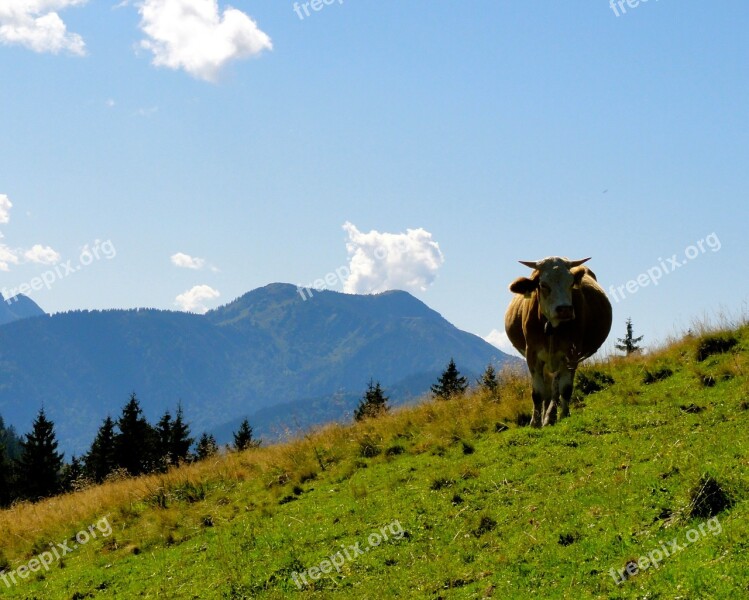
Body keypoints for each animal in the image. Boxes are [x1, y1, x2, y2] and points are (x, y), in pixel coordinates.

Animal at [502, 256, 612, 426]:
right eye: (543, 284)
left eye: (571, 283)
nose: (565, 309)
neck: (552, 327)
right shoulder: (532, 354)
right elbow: (537, 393)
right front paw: (535, 422)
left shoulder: (572, 353)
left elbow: (565, 389)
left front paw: (564, 414)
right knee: (548, 388)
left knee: (555, 388)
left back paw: (550, 416)